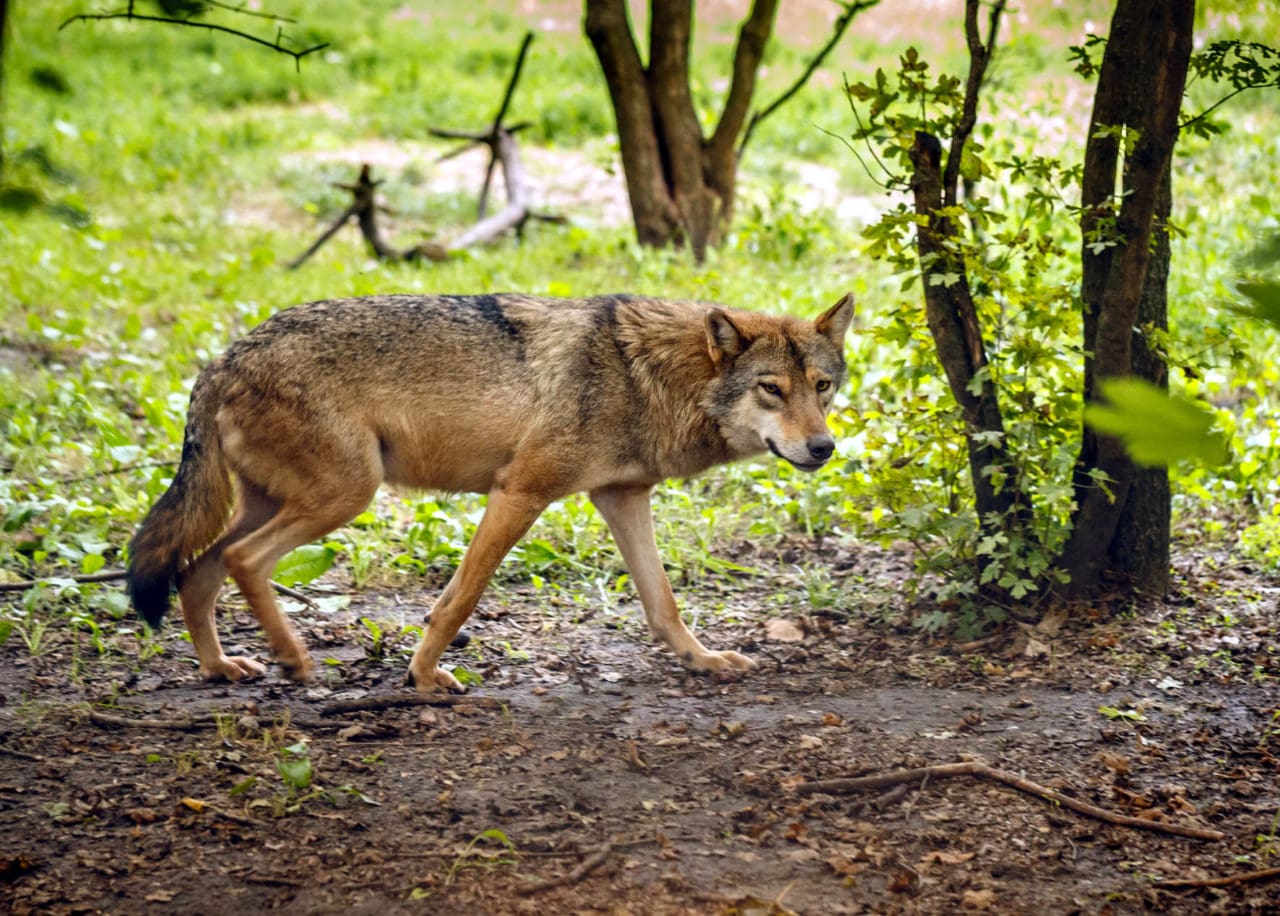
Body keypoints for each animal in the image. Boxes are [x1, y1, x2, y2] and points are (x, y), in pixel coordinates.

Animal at [124, 291, 855, 685]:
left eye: (822, 387)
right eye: (772, 389)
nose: (824, 448)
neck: (647, 375)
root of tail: (224, 357)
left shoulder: (623, 498)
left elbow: (663, 604)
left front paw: (702, 660)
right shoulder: (520, 493)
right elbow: (457, 600)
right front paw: (421, 677)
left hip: (285, 502)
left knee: (197, 571)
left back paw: (221, 669)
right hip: (345, 496)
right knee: (240, 561)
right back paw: (295, 659)